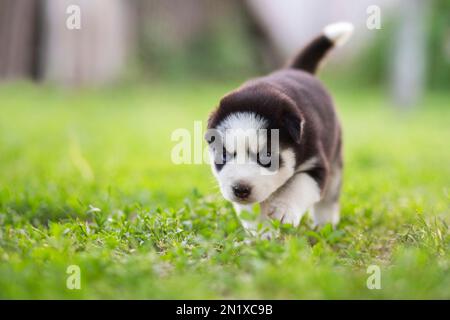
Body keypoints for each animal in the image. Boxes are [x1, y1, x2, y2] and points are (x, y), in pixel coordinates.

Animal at [206, 21, 354, 230]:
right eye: (224, 155)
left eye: (266, 156)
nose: (240, 189)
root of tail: (297, 69)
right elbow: (252, 210)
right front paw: (261, 231)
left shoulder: (315, 164)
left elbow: (299, 186)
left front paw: (284, 209)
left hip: (335, 157)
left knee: (329, 195)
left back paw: (325, 223)